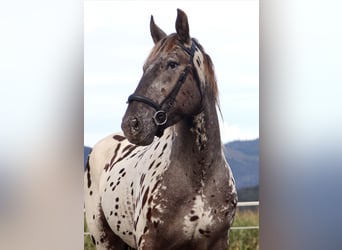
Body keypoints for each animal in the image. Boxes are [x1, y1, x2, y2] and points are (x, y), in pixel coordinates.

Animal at [84, 8, 236, 249]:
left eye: (172, 63)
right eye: (144, 68)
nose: (132, 123)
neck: (199, 176)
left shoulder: (218, 242)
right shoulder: (149, 242)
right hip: (103, 240)